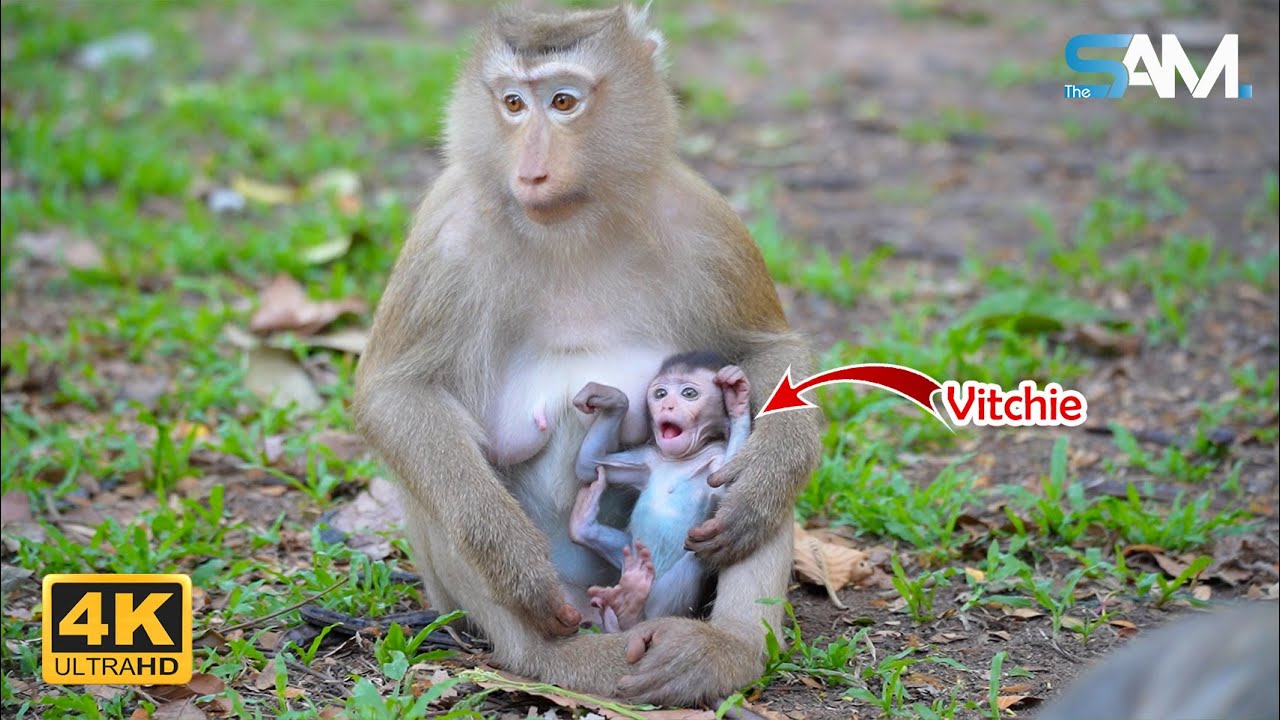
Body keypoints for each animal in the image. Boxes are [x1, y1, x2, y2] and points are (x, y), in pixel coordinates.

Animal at [569, 352, 752, 632]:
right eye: (660, 394)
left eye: (689, 393)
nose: (667, 407)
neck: (684, 458)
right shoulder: (650, 458)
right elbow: (590, 465)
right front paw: (612, 400)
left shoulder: (716, 455)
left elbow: (724, 490)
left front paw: (737, 399)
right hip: (632, 561)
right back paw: (584, 526)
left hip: (661, 604)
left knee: (695, 556)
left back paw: (630, 606)